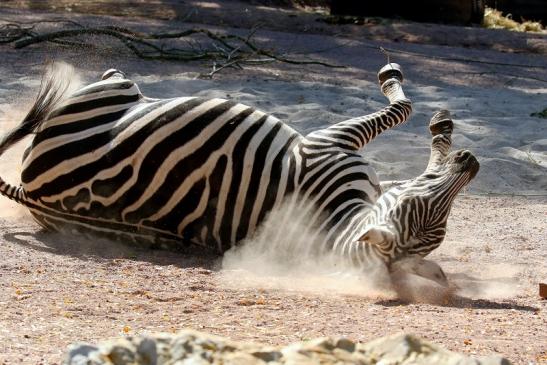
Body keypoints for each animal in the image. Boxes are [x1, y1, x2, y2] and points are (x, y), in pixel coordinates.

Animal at [0, 62, 478, 282]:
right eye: (423, 200)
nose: (472, 163)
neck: (335, 221)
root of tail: (32, 193)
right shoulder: (331, 145)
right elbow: (402, 112)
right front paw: (440, 127)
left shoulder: (328, 144)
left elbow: (403, 107)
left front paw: (428, 114)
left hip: (112, 92)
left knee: (117, 78)